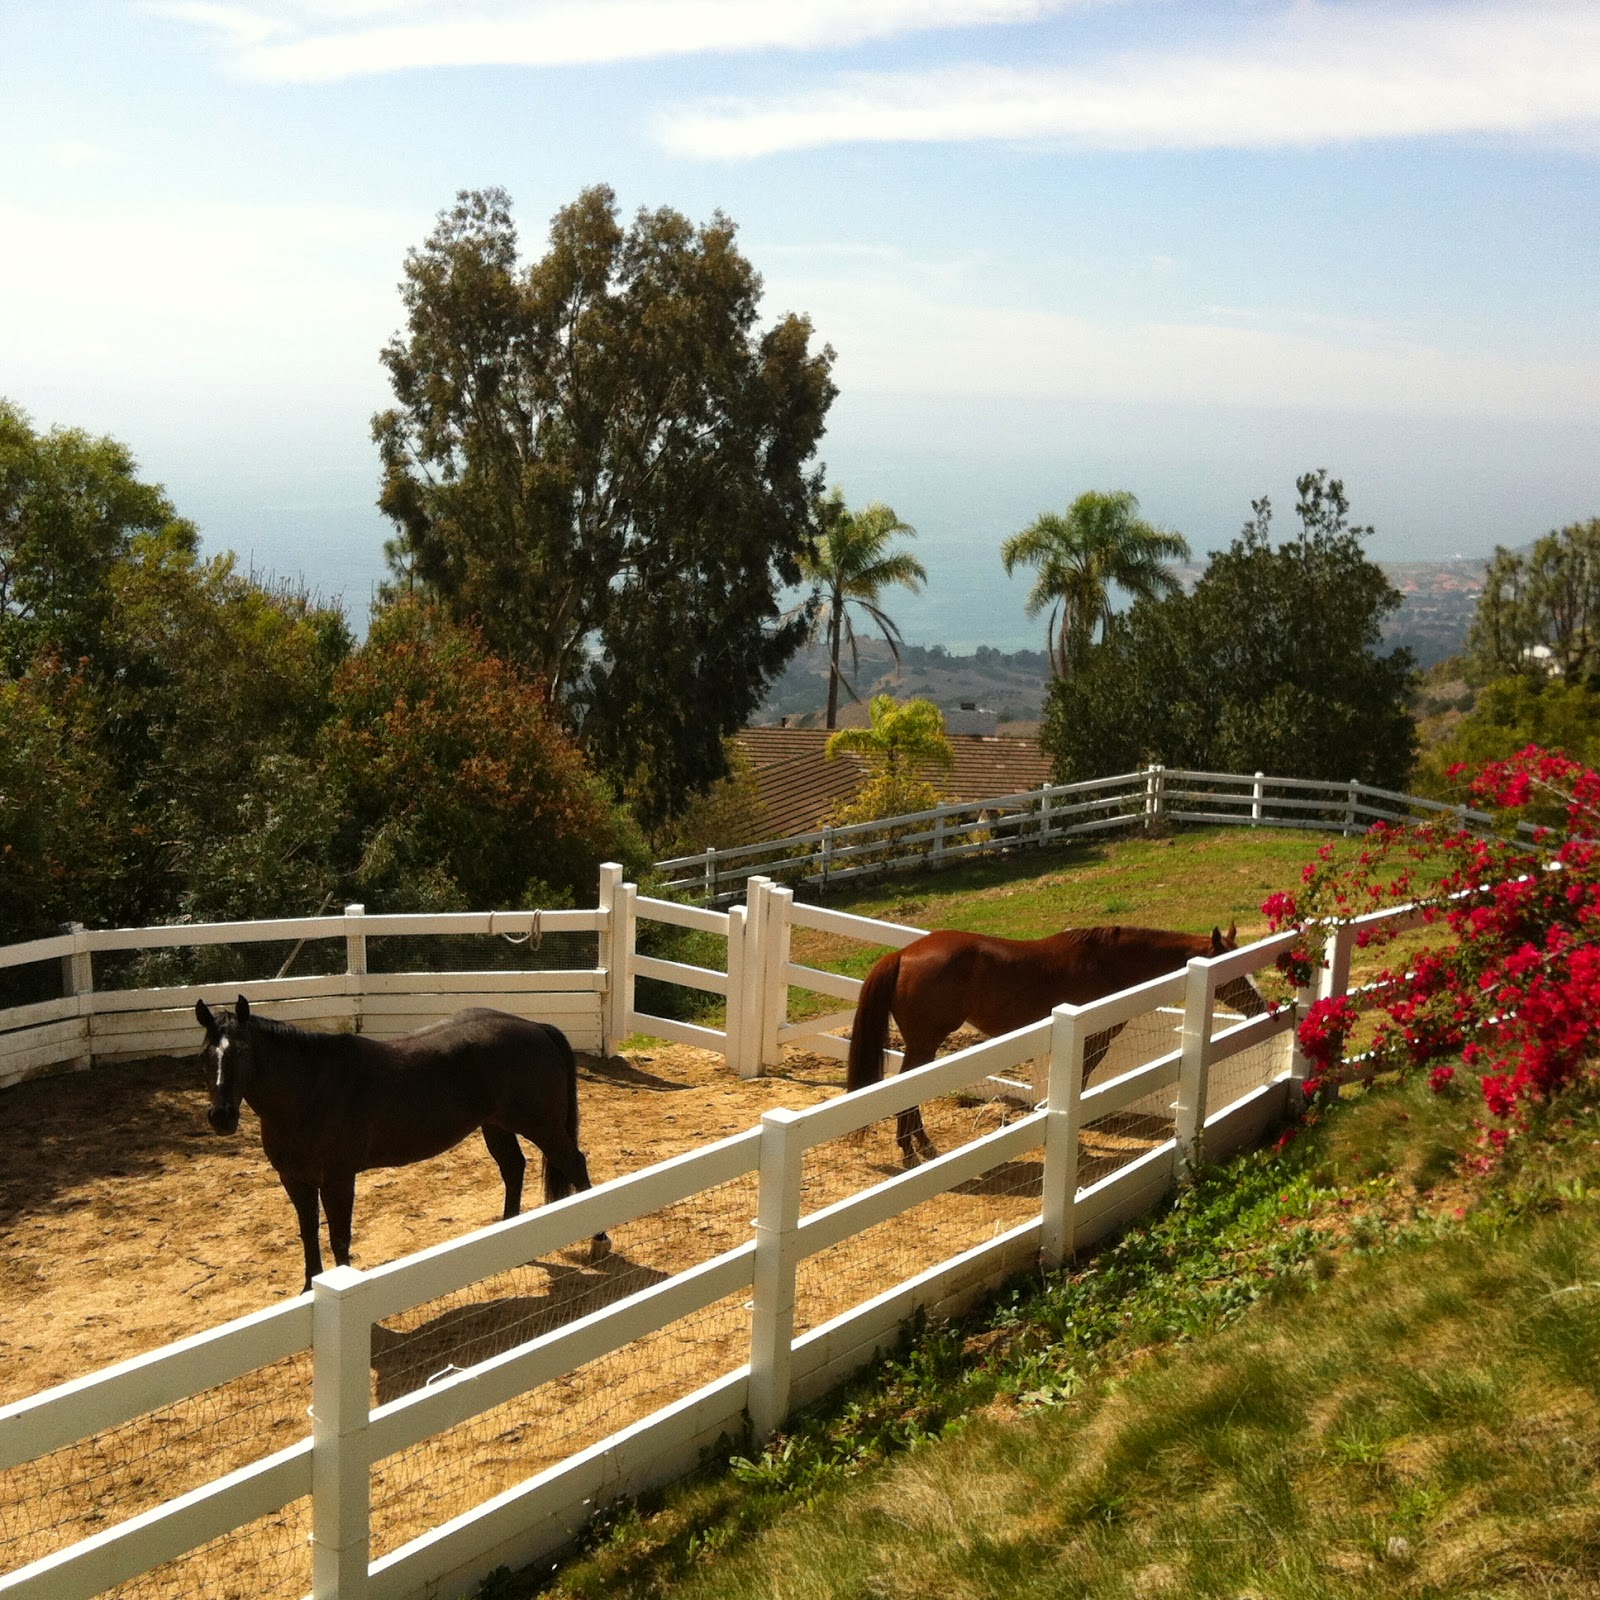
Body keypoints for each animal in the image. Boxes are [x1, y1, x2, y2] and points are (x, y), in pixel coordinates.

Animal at [195, 997, 609, 1292]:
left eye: (243, 1052)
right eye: (206, 1054)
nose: (221, 1117)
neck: (311, 1091)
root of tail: (537, 1027)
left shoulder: (338, 1179)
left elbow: (339, 1237)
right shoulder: (294, 1180)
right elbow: (309, 1232)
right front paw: (307, 1288)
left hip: (542, 1126)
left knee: (574, 1163)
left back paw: (599, 1240)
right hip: (496, 1126)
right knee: (513, 1168)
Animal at [845, 923, 1267, 1166]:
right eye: (1231, 971)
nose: (1261, 1006)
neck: (1107, 963)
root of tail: (902, 955)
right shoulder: (1093, 1042)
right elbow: (1078, 1086)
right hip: (923, 1045)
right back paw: (914, 1151)